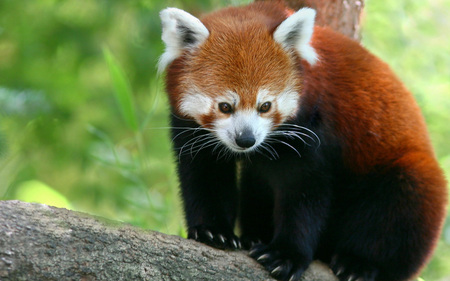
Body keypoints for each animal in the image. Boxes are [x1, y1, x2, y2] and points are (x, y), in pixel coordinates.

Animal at [157, 1, 446, 278]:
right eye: (225, 106)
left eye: (265, 106)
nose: (246, 139)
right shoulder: (192, 129)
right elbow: (204, 173)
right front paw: (213, 231)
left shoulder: (312, 127)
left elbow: (304, 192)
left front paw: (286, 255)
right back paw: (254, 236)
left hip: (406, 175)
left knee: (399, 205)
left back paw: (359, 264)